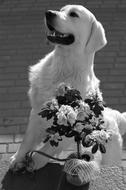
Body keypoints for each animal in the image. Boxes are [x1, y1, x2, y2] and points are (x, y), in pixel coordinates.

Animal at [10, 5, 126, 170]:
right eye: (61, 9)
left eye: (73, 14)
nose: (48, 13)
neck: (64, 67)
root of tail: (117, 117)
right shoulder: (36, 112)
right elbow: (27, 140)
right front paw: (17, 159)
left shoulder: (74, 129)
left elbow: (47, 149)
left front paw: (33, 162)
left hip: (110, 155)